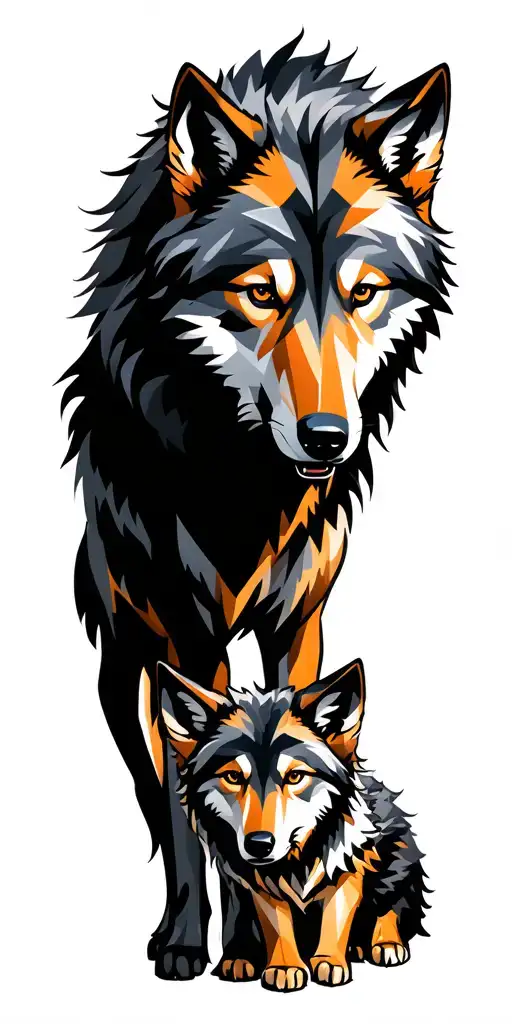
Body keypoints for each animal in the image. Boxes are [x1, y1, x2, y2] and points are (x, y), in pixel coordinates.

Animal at [159, 658, 428, 991]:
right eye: (233, 776)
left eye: (295, 776)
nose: (259, 844)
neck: (296, 859)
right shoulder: (258, 879)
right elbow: (277, 924)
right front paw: (285, 966)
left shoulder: (349, 863)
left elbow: (335, 916)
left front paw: (328, 961)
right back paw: (241, 957)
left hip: (396, 853)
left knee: (390, 903)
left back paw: (385, 943)